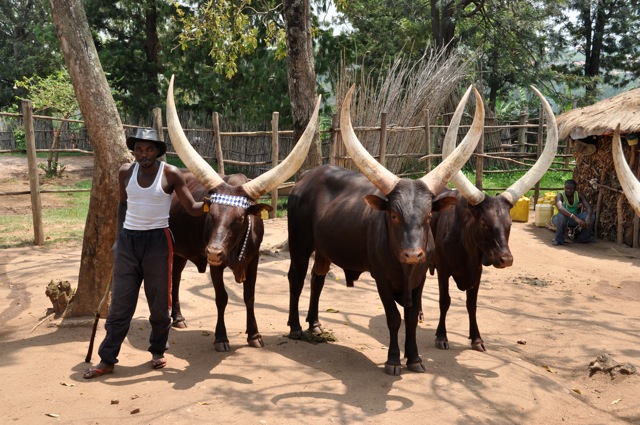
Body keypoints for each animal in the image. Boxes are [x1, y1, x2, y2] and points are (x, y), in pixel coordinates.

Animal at [165, 76, 320, 352]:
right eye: (210, 215)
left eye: (239, 219)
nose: (213, 252)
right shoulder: (216, 265)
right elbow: (222, 297)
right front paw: (221, 337)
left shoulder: (254, 259)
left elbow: (249, 296)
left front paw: (254, 335)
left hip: (183, 249)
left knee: (177, 274)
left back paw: (179, 318)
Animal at [288, 83, 482, 374]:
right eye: (393, 214)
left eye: (428, 215)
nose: (412, 254)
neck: (405, 269)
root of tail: (304, 180)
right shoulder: (381, 279)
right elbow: (393, 318)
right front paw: (393, 361)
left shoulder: (420, 279)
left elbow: (411, 319)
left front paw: (414, 359)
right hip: (299, 243)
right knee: (296, 278)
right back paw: (296, 327)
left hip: (323, 249)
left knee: (317, 277)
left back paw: (314, 323)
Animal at [428, 87, 556, 352]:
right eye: (484, 223)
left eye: (510, 225)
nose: (505, 259)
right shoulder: (443, 269)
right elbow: (445, 301)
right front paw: (441, 336)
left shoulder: (476, 272)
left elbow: (472, 304)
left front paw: (477, 339)